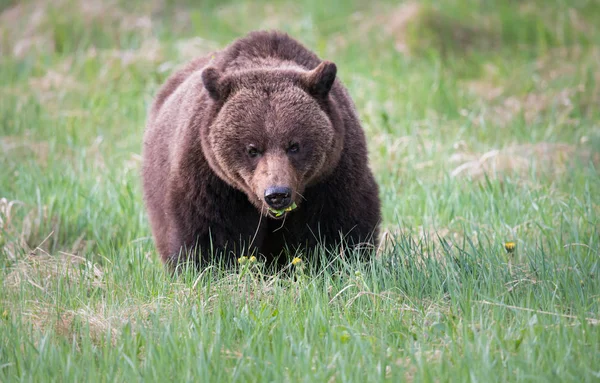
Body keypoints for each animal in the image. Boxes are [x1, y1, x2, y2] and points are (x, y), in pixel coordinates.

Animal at [142, 30, 380, 272]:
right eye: (252, 149)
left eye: (294, 146)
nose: (277, 194)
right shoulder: (211, 180)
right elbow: (209, 233)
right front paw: (213, 268)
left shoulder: (332, 175)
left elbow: (338, 226)